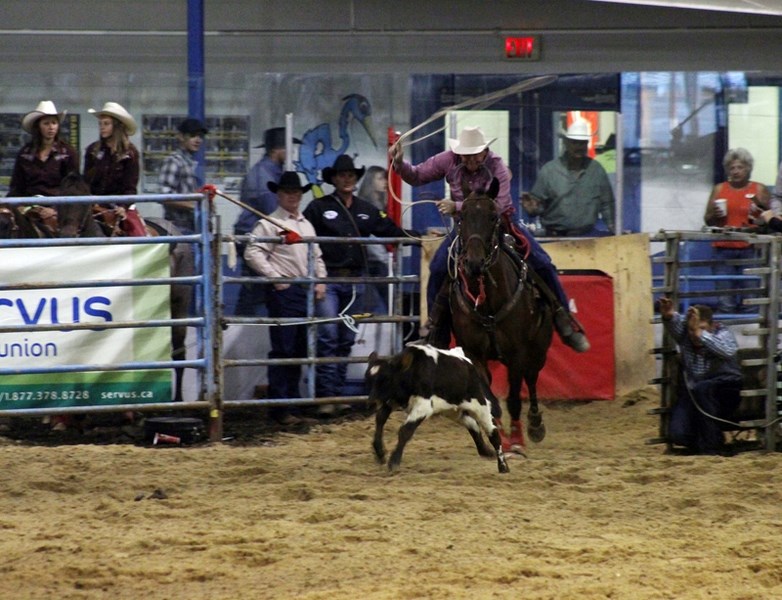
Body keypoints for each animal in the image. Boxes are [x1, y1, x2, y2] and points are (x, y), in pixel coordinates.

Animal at [366, 342, 512, 474]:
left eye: (386, 379)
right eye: (368, 379)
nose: (371, 403)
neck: (412, 371)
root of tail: (467, 362)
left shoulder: (423, 406)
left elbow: (405, 431)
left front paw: (394, 461)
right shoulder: (392, 400)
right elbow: (380, 419)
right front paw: (379, 452)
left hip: (480, 405)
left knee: (493, 433)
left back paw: (503, 466)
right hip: (453, 410)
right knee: (473, 425)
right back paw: (485, 451)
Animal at [450, 180, 556, 452]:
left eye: (493, 216)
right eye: (462, 216)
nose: (474, 263)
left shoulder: (518, 351)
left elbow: (515, 397)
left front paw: (517, 440)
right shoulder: (473, 353)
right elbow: (489, 397)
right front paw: (497, 433)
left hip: (538, 349)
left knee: (531, 378)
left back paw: (535, 424)